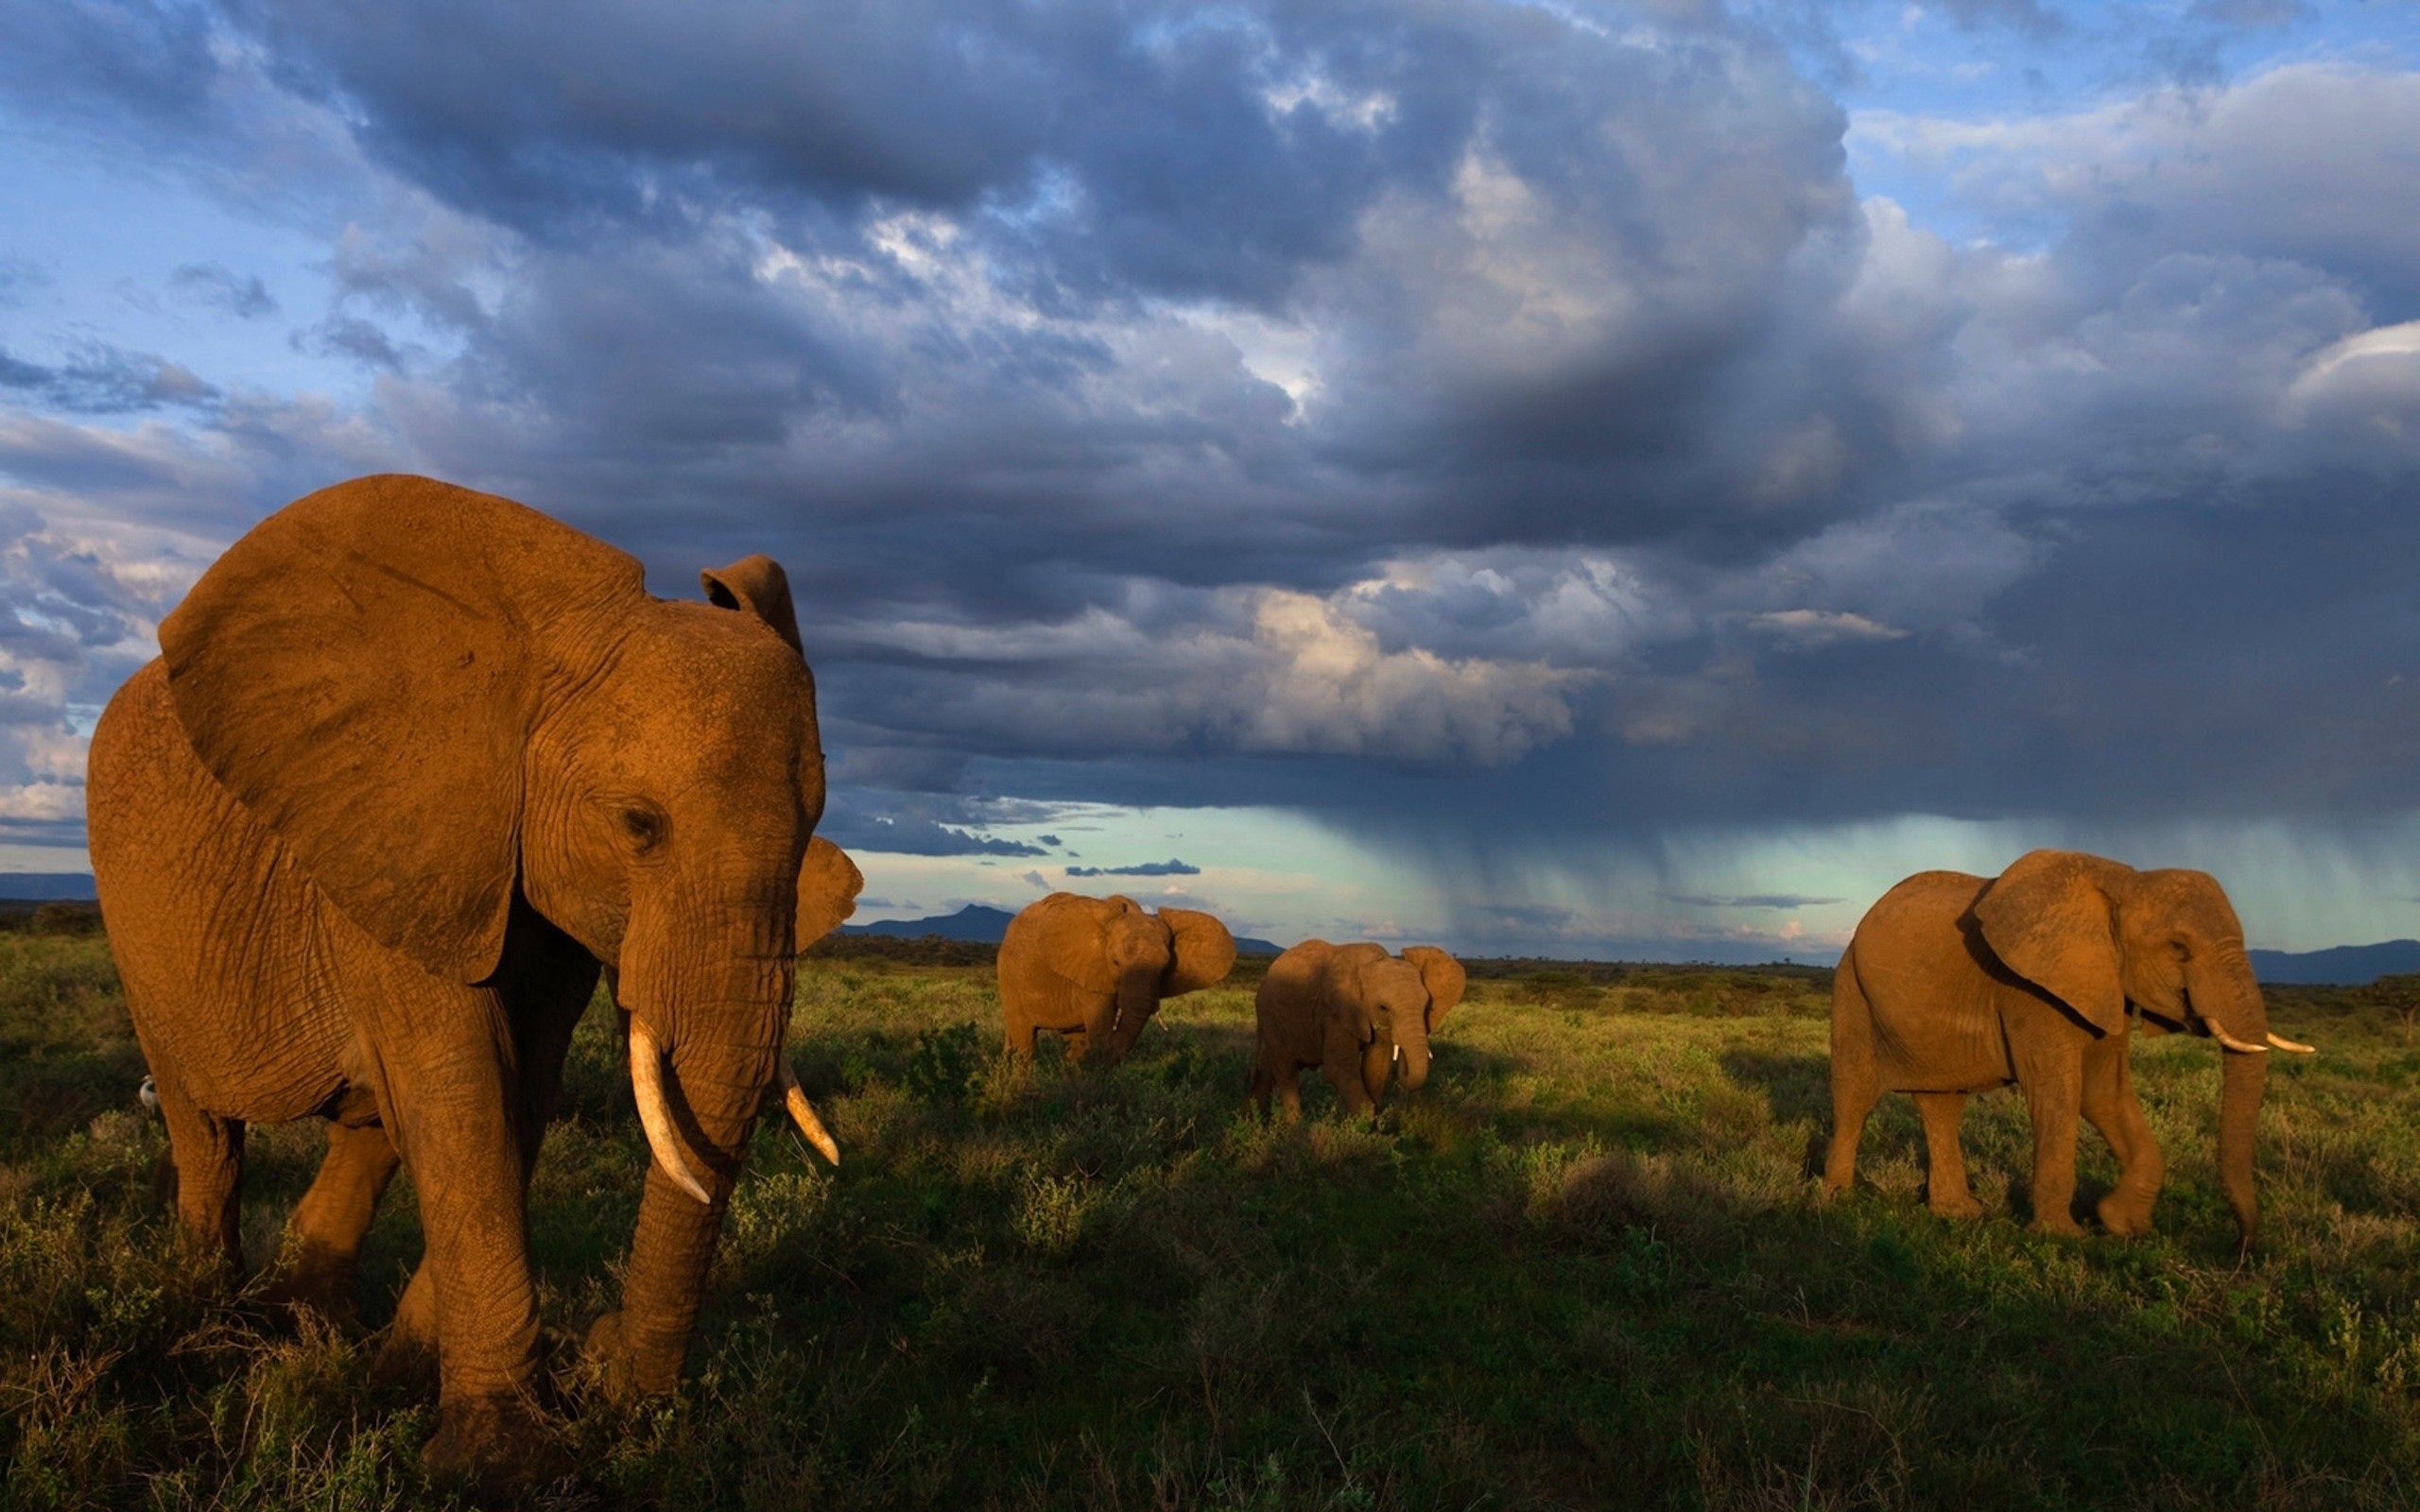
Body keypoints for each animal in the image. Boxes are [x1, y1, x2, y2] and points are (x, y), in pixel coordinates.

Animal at [85, 473, 856, 1489]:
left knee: (369, 1128)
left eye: (812, 832)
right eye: (638, 825)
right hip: (138, 935)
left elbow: (516, 1088)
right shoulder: (399, 832)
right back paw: (209, 1327)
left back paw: (316, 1334)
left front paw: (412, 1385)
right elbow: (465, 1091)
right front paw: (499, 1463)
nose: (604, 1359)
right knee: (205, 1131)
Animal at [992, 890, 1238, 1069]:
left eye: (1165, 967)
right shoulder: (1092, 974)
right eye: (1116, 963)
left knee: (1074, 1042)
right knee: (1024, 1041)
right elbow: (1100, 1032)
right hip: (1010, 977)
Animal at [1258, 938, 1461, 1112]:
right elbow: (1339, 1068)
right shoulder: (1335, 1012)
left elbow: (1376, 1065)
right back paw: (1294, 1128)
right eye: (1384, 1007)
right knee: (1286, 1071)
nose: (1406, 952)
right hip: (1270, 1015)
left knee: (1266, 1069)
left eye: (1427, 1006)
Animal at [1820, 841, 2313, 1247]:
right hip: (1851, 991)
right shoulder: (2029, 989)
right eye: (2178, 948)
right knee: (1855, 1096)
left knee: (1942, 1105)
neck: (2126, 882)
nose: (2242, 1249)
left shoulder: (2107, 983)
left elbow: (2103, 1091)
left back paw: (1958, 1215)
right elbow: (2058, 1092)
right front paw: (2063, 1237)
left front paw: (2120, 1224)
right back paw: (1836, 1201)